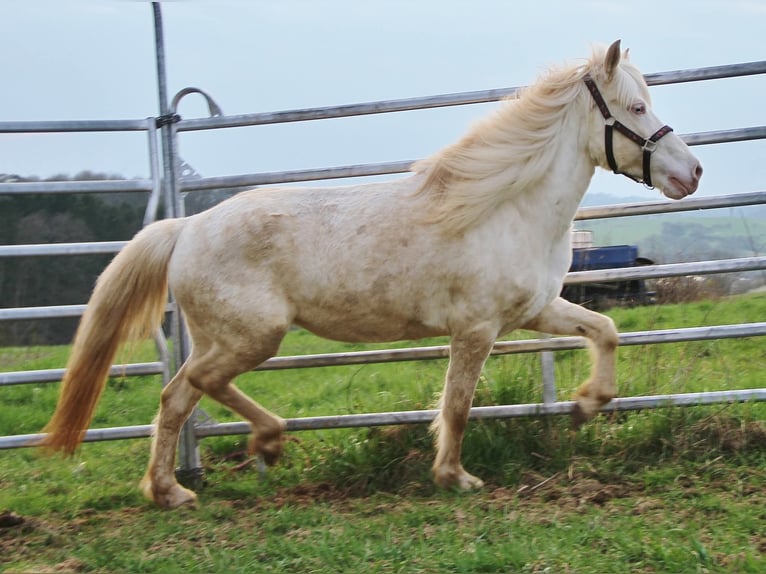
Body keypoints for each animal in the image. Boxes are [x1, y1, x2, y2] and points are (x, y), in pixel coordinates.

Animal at [39, 40, 702, 509]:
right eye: (637, 107)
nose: (691, 173)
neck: (506, 208)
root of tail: (186, 226)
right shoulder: (476, 328)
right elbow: (458, 405)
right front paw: (454, 477)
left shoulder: (536, 310)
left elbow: (605, 329)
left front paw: (587, 404)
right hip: (249, 335)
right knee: (185, 391)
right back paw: (210, 469)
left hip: (228, 338)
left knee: (189, 392)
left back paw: (220, 465)